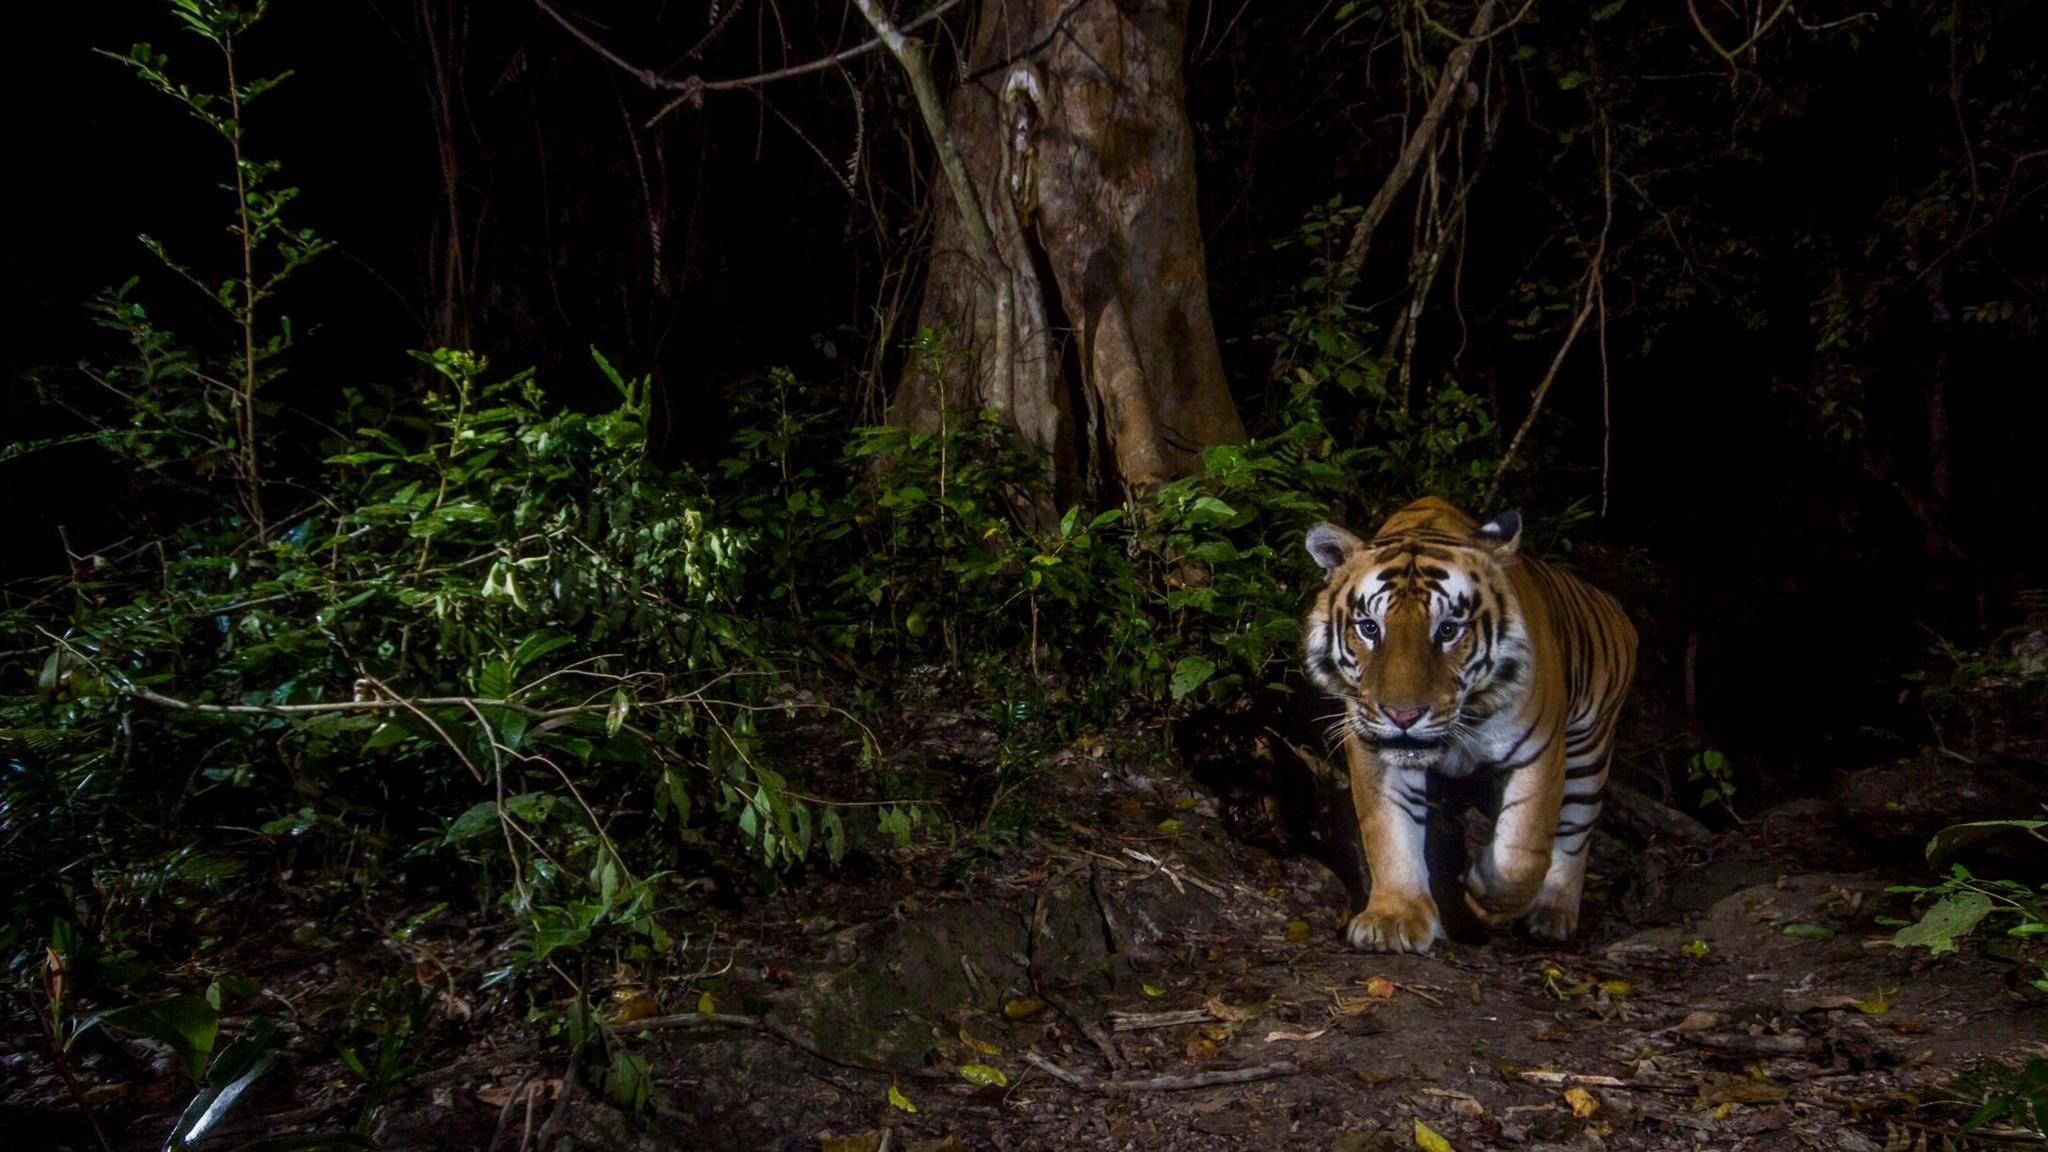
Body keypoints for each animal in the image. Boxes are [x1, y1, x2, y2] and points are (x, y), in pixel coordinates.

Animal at [1302, 496, 1637, 952]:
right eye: (1370, 628)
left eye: (1448, 630)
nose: (1402, 715)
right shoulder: (1374, 745)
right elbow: (1389, 830)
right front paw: (1394, 919)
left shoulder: (1541, 752)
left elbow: (1522, 851)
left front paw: (1483, 893)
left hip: (1590, 751)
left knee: (1575, 833)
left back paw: (1552, 915)